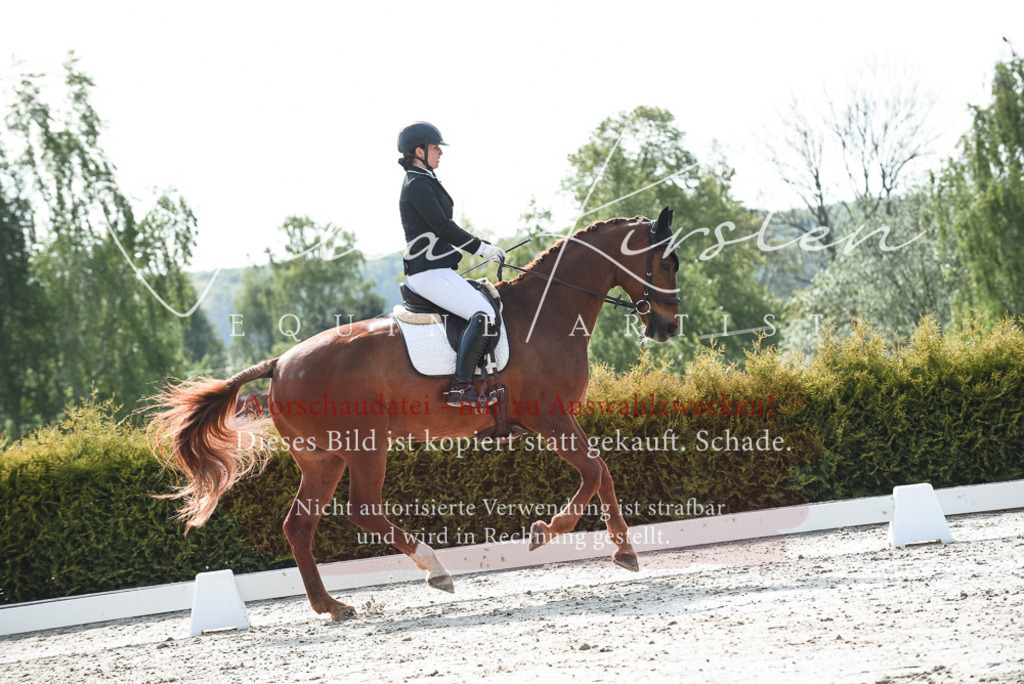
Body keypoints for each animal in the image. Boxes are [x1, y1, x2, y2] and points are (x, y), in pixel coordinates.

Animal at [148, 209, 681, 620]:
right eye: (666, 262)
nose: (668, 327)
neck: (546, 313)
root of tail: (279, 363)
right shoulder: (548, 417)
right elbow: (593, 471)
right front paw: (544, 532)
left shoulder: (556, 420)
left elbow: (602, 472)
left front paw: (625, 550)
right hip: (365, 446)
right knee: (363, 509)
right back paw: (435, 569)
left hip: (322, 458)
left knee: (299, 525)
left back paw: (332, 606)